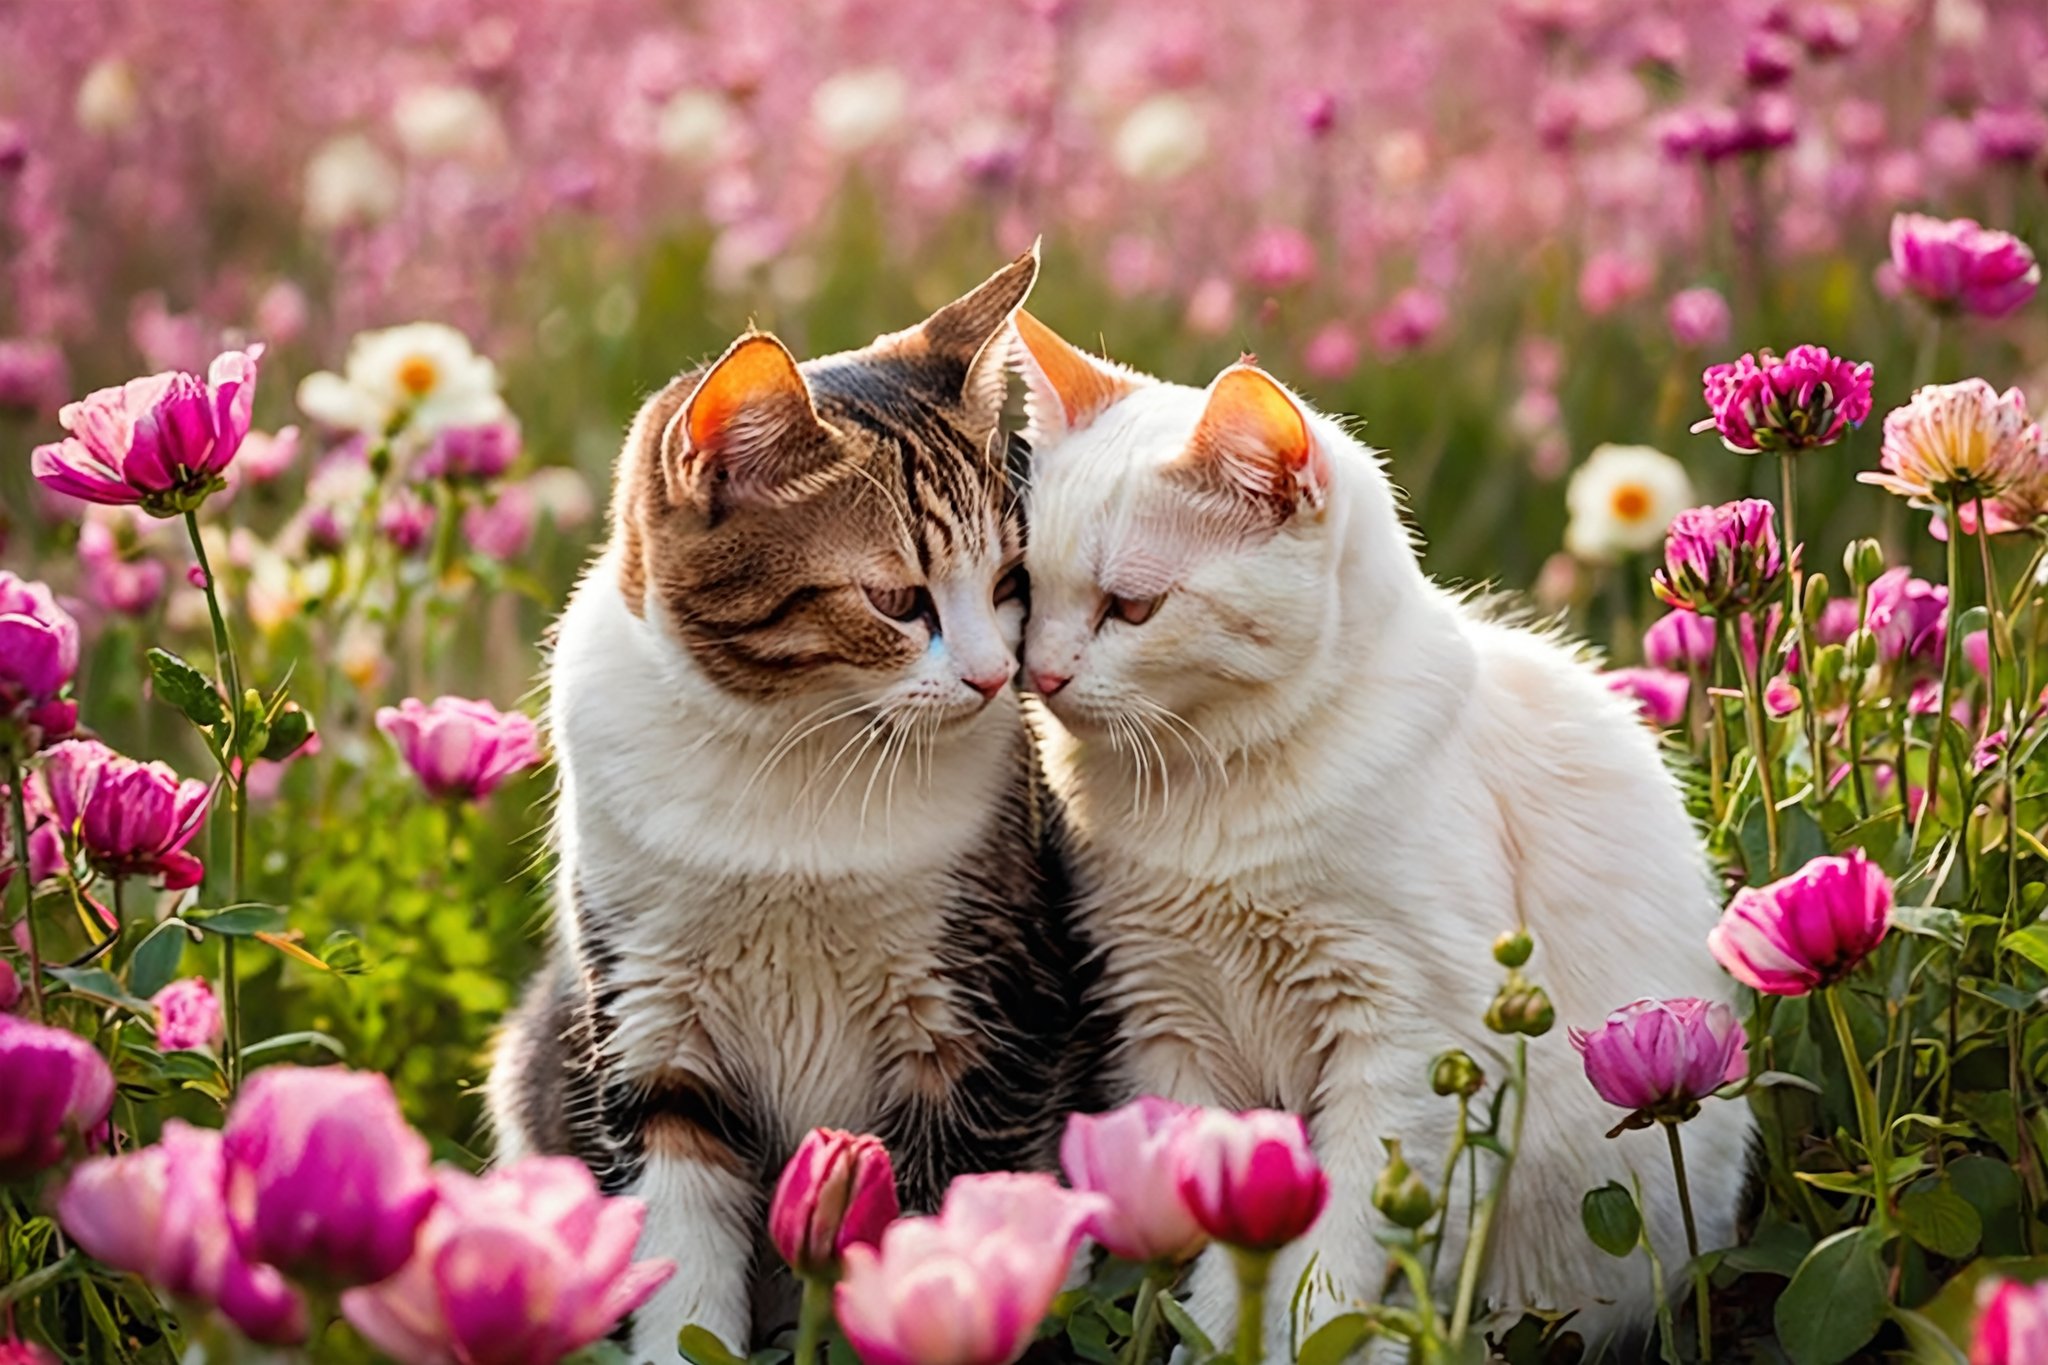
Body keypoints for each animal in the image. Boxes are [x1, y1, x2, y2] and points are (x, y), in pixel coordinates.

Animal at [1015, 315, 1753, 1350]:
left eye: (1131, 607)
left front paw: (1273, 1342)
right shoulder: (1167, 1020)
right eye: (1021, 590)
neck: (1206, 788)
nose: (1036, 673)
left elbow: (1329, 1264)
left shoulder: (1406, 1038)